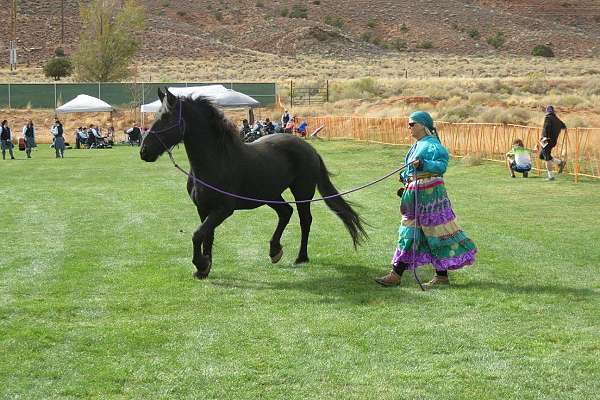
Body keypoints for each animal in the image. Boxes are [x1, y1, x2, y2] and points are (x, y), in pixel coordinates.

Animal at [141, 88, 366, 278]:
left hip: (302, 192)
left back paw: (301, 257)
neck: (216, 161)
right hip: (270, 194)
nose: (144, 151)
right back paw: (275, 250)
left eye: (165, 118)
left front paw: (201, 264)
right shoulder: (204, 209)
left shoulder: (223, 210)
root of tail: (308, 148)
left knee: (305, 220)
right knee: (286, 212)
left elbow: (197, 234)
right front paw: (204, 268)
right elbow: (207, 236)